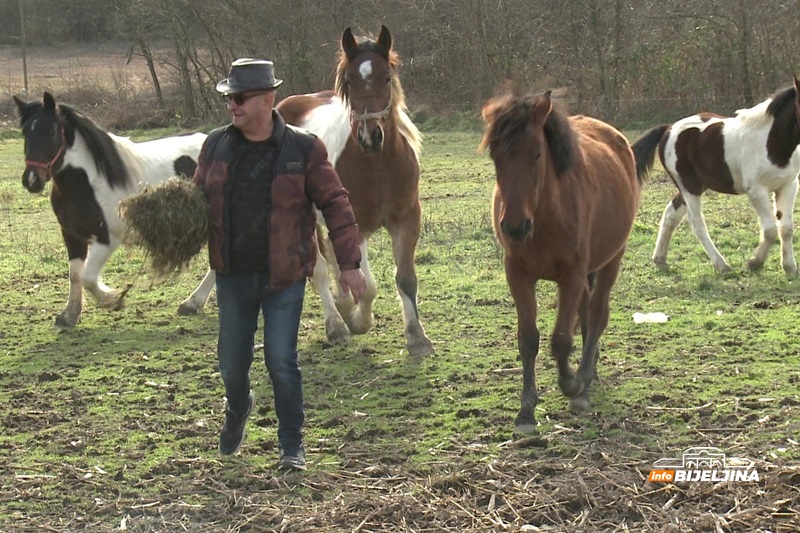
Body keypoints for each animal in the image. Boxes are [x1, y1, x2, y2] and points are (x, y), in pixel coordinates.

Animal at [14, 91, 214, 324]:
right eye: (25, 132)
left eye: (51, 131)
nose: (32, 180)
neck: (87, 182)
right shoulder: (72, 236)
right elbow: (75, 275)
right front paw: (70, 314)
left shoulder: (107, 240)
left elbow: (88, 277)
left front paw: (113, 299)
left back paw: (192, 303)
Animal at [278, 26, 434, 358]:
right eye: (349, 81)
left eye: (386, 77)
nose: (370, 136)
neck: (378, 166)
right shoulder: (356, 225)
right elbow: (367, 284)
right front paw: (358, 320)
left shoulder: (407, 220)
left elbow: (405, 279)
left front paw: (417, 338)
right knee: (320, 271)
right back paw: (337, 325)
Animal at [478, 89, 648, 434]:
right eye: (496, 157)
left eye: (537, 154)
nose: (515, 227)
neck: (546, 216)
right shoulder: (518, 274)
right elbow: (528, 339)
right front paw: (526, 410)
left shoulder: (571, 276)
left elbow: (560, 340)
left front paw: (572, 384)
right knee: (585, 316)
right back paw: (589, 371)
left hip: (611, 260)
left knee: (597, 314)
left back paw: (583, 381)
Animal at [636, 76, 800, 274]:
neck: (772, 142)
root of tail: (667, 129)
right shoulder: (757, 191)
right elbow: (770, 230)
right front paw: (754, 263)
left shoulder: (788, 185)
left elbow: (786, 228)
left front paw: (790, 267)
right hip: (689, 187)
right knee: (696, 223)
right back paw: (722, 265)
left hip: (693, 186)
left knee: (670, 215)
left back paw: (660, 259)